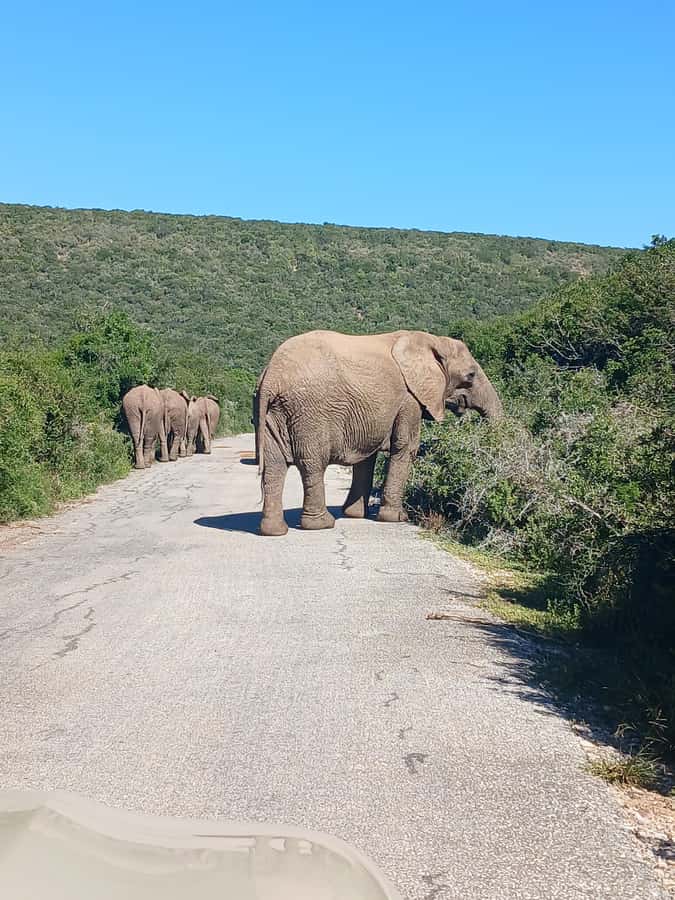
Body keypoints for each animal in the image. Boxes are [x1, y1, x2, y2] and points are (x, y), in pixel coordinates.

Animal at [254, 330, 502, 536]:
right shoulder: (409, 399)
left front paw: (354, 515)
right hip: (309, 412)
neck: (432, 340)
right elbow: (406, 447)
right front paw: (398, 518)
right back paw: (322, 524)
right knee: (312, 463)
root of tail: (272, 376)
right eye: (470, 376)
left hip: (273, 413)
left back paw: (274, 531)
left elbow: (366, 456)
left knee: (274, 466)